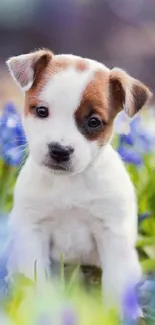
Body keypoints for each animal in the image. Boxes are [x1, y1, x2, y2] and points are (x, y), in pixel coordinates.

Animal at [5, 50, 151, 314]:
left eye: (93, 122)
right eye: (42, 111)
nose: (59, 151)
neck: (68, 183)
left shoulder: (112, 234)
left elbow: (115, 283)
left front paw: (115, 315)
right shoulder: (33, 232)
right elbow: (37, 278)